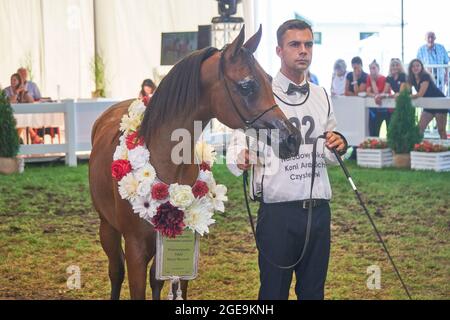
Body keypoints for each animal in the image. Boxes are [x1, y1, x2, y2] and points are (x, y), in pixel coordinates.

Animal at [88, 25, 300, 300]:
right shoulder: (135, 248)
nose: (292, 138)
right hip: (108, 229)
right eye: (247, 86)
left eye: (269, 80)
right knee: (116, 271)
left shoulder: (186, 243)